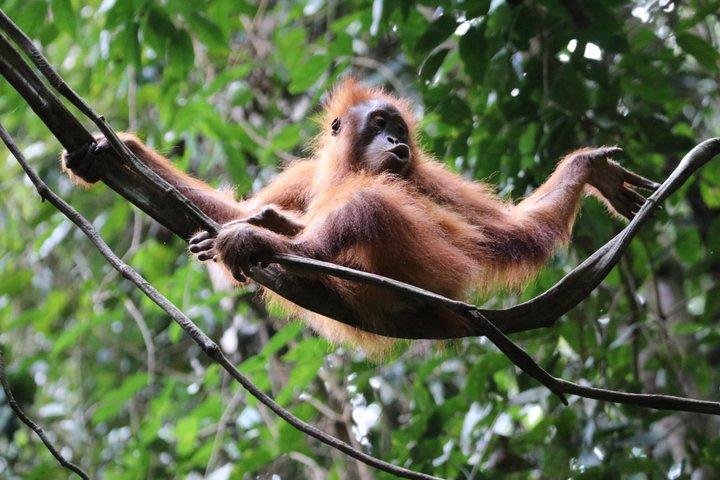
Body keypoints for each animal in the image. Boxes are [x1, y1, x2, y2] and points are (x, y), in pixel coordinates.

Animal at [62, 78, 659, 356]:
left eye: (396, 126)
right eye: (377, 123)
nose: (396, 142)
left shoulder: (426, 177)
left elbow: (507, 234)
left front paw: (586, 170)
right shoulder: (309, 175)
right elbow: (236, 207)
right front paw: (119, 152)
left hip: (430, 274)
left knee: (372, 204)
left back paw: (279, 246)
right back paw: (274, 233)